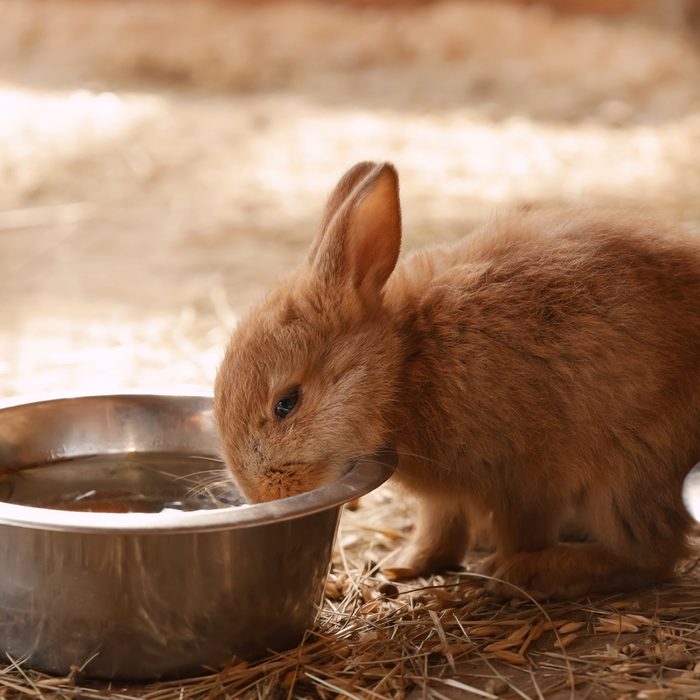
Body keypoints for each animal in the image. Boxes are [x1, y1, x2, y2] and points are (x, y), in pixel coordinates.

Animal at [214, 161, 700, 599]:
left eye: (287, 403)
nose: (263, 494)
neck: (404, 363)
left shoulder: (522, 479)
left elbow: (521, 530)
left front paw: (507, 570)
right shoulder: (448, 498)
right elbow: (440, 527)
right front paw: (402, 566)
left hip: (628, 472)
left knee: (649, 554)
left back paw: (534, 573)